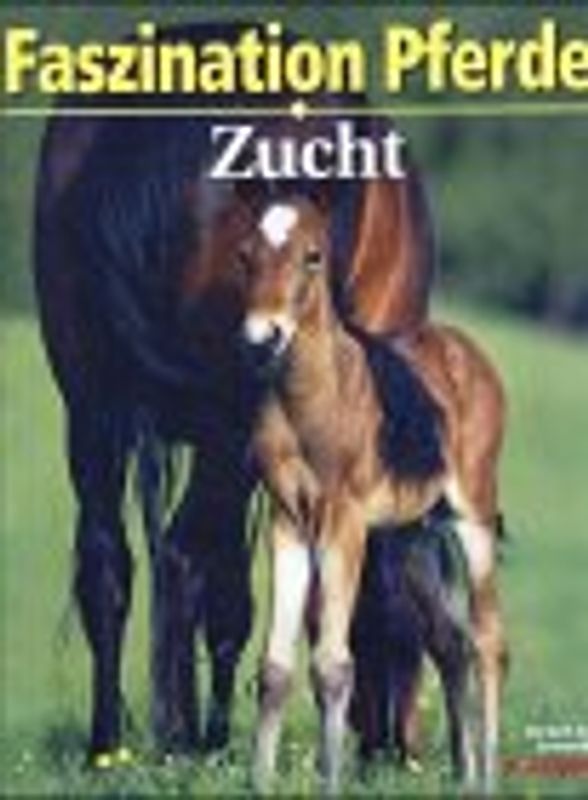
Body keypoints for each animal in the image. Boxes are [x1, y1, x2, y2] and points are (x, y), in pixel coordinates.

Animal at [33, 21, 436, 766]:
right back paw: (169, 740)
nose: (397, 745)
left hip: (97, 409)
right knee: (176, 557)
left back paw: (123, 742)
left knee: (118, 561)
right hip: (202, 427)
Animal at [238, 197, 507, 794]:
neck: (310, 399)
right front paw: (260, 784)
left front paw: (330, 783)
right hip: (414, 535)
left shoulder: (344, 524)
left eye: (313, 255)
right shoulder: (287, 522)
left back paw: (487, 779)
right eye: (244, 254)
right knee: (450, 643)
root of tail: (468, 351)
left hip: (472, 517)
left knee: (488, 641)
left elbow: (333, 665)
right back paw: (461, 775)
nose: (263, 336)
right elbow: (274, 668)